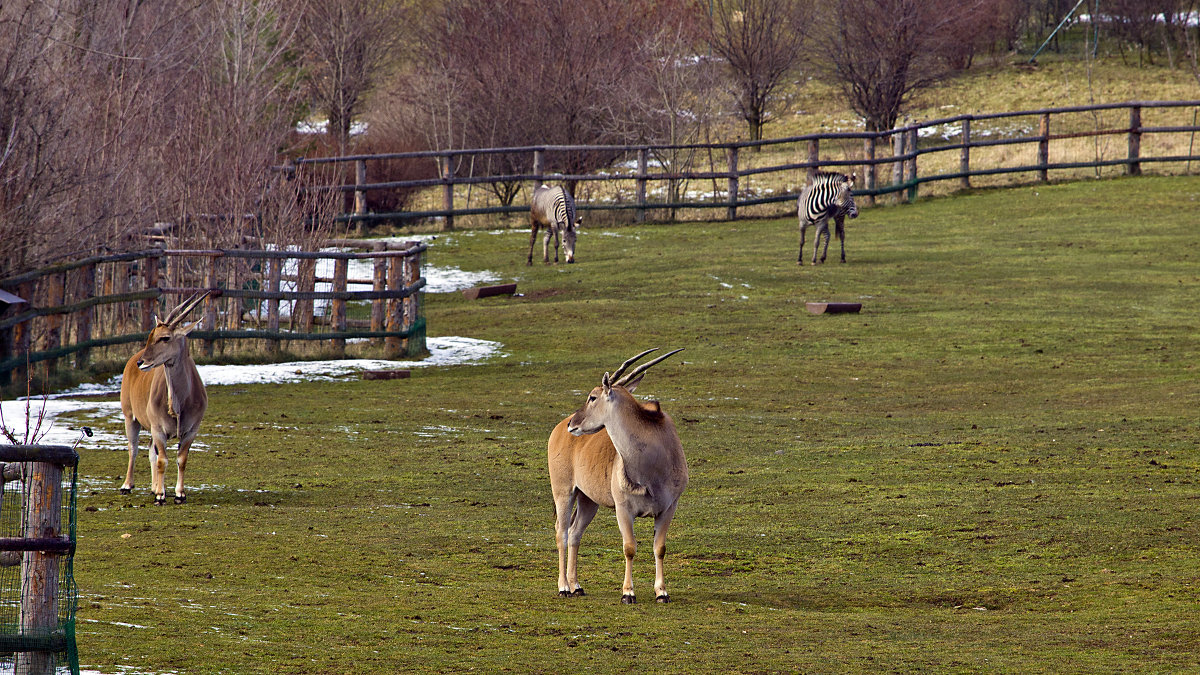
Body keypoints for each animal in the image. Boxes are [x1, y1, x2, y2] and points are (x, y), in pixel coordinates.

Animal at [120, 291, 210, 502]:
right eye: (151, 336)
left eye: (165, 338)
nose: (141, 362)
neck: (178, 404)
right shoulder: (158, 429)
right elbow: (162, 460)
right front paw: (161, 495)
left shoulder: (191, 431)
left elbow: (181, 459)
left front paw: (179, 493)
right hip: (130, 417)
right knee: (133, 448)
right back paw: (128, 485)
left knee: (149, 450)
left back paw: (154, 487)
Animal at [549, 345, 691, 598]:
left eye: (592, 397)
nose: (572, 424)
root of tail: (556, 431)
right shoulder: (623, 509)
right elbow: (629, 548)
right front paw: (628, 593)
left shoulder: (668, 508)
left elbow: (660, 548)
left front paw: (661, 592)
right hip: (564, 492)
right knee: (562, 533)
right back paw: (564, 586)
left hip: (588, 500)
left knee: (575, 533)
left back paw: (576, 586)